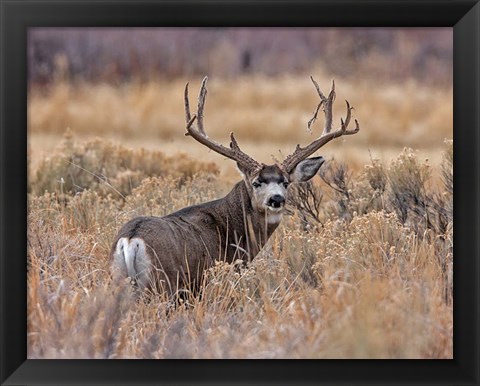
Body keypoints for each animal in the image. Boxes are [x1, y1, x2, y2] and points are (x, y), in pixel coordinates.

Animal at [111, 77, 360, 298]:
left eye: (286, 182)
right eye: (256, 182)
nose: (276, 199)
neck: (234, 228)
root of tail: (131, 240)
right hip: (163, 284)